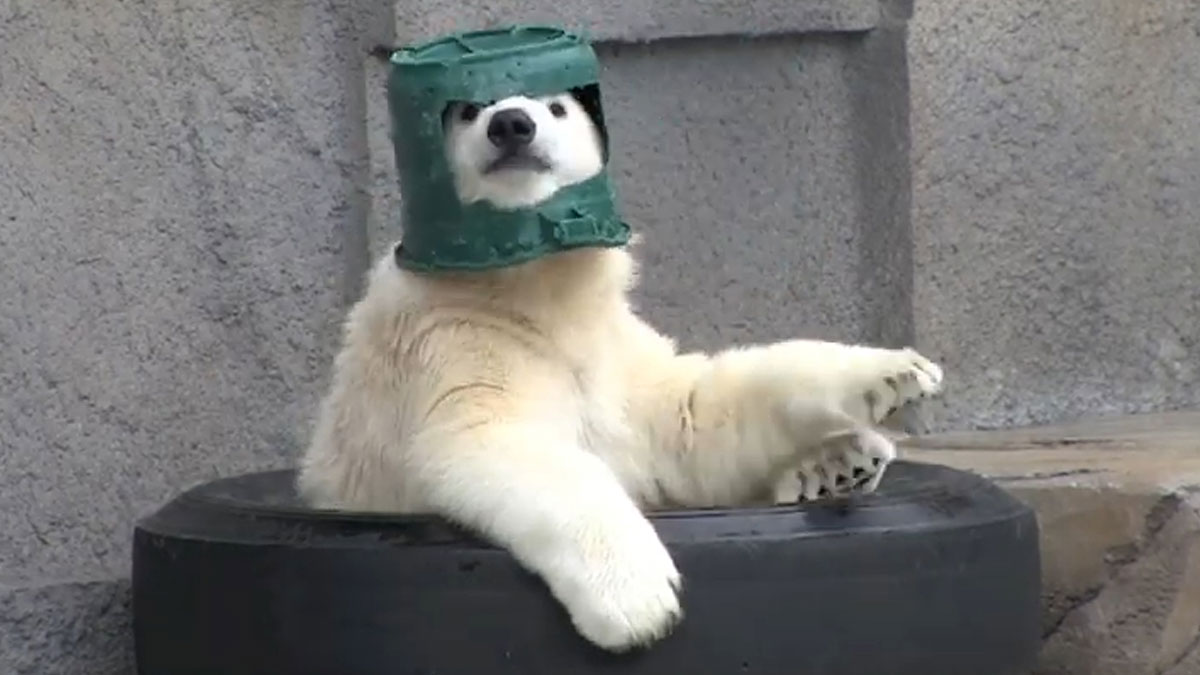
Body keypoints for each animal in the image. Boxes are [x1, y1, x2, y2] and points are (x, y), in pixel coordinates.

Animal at [297, 89, 944, 653]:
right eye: (469, 110)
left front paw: (900, 375)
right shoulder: (448, 341)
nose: (511, 124)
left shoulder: (611, 351)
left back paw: (841, 462)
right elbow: (492, 442)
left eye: (556, 106)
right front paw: (639, 604)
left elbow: (697, 418)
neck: (532, 291)